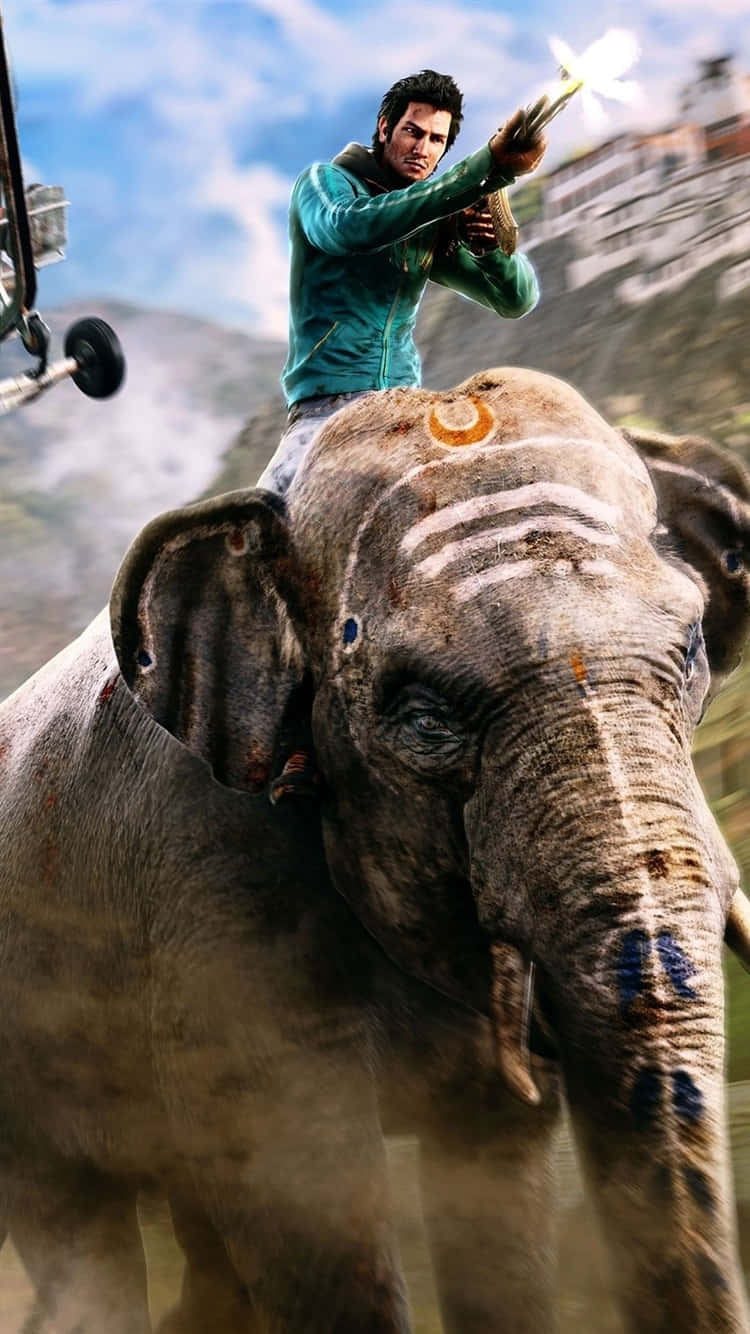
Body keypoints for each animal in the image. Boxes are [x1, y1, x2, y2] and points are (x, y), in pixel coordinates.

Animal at [1, 364, 750, 1334]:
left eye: (692, 652)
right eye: (422, 716)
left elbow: (497, 1180)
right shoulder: (209, 877)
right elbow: (304, 1181)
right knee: (77, 1232)